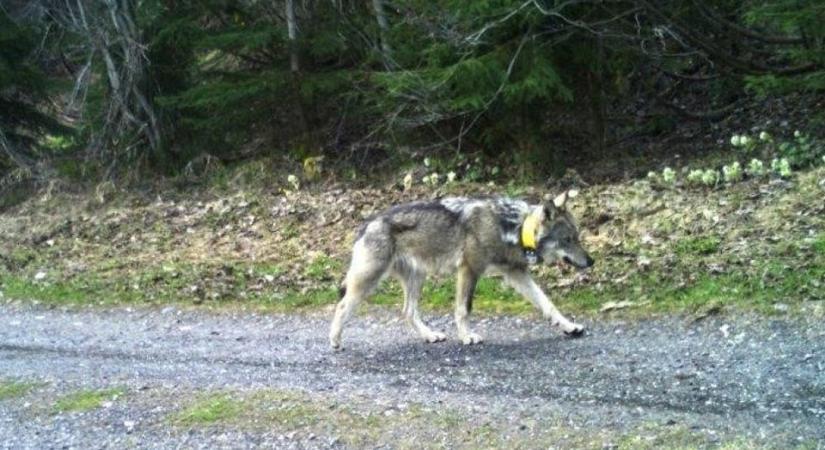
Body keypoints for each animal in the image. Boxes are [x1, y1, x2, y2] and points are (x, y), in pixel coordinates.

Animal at [328, 190, 592, 348]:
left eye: (577, 237)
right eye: (568, 239)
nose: (591, 262)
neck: (512, 227)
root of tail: (366, 223)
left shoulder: (516, 274)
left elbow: (548, 304)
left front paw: (569, 326)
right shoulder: (469, 270)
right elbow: (464, 309)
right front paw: (466, 337)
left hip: (417, 279)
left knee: (408, 312)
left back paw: (430, 335)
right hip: (369, 281)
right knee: (342, 306)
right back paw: (335, 340)